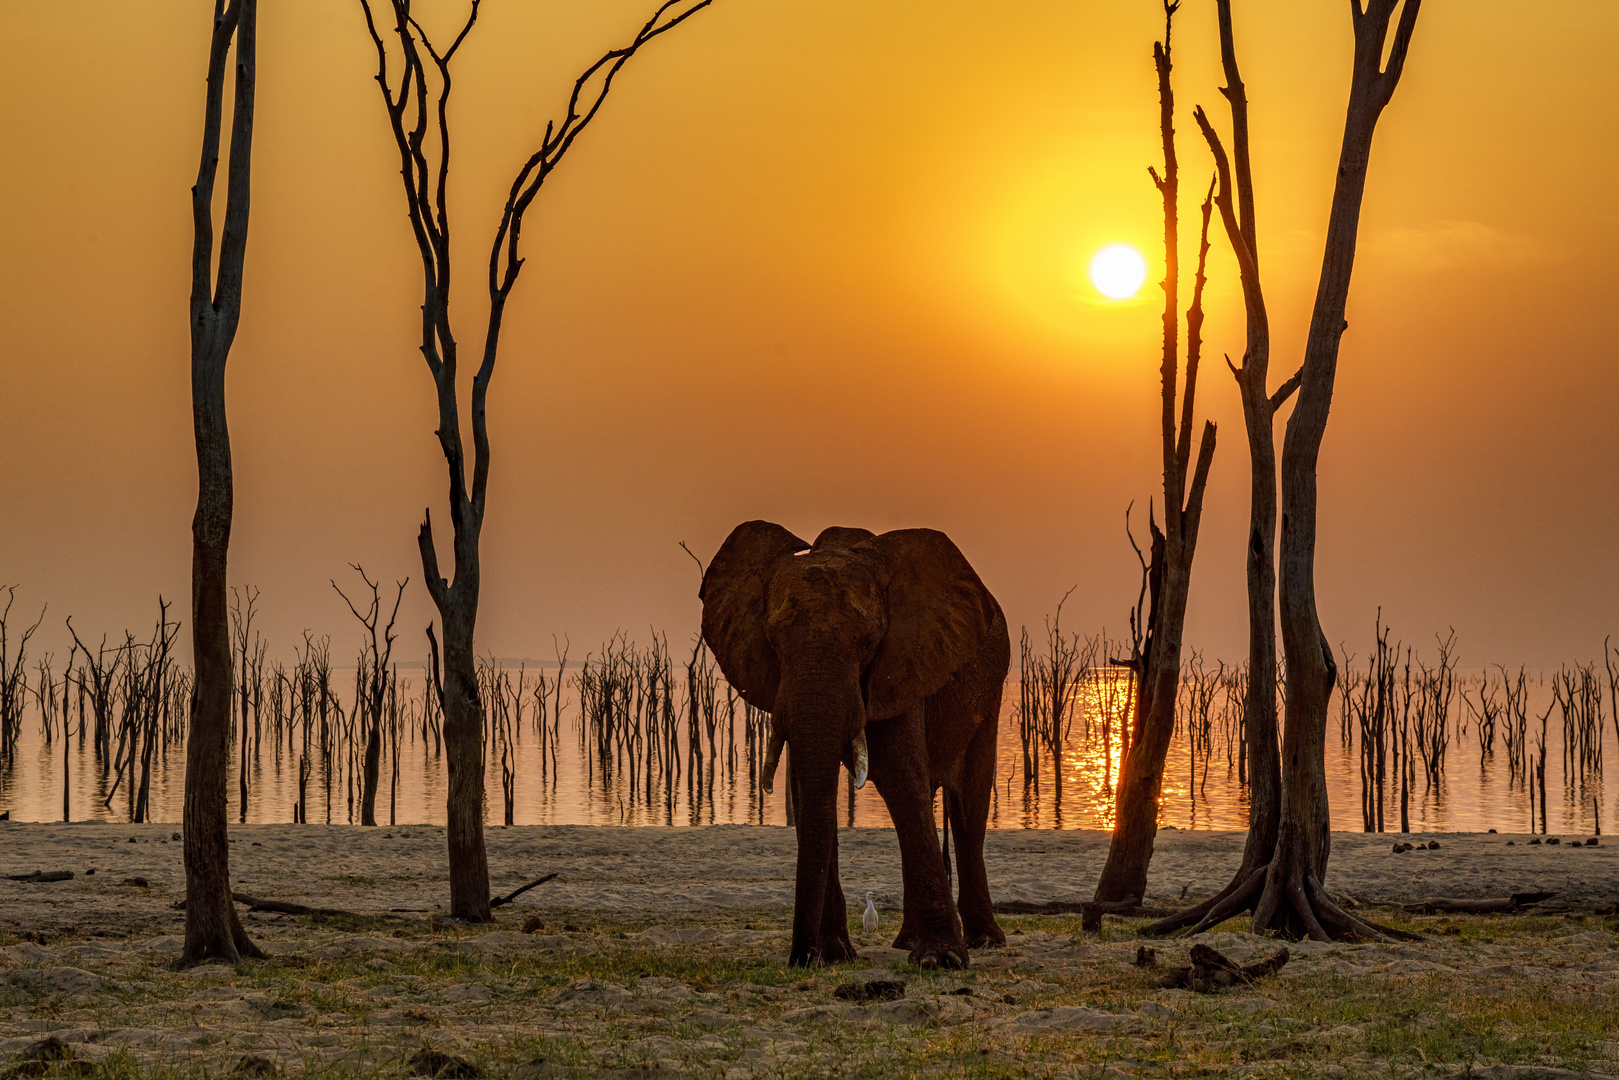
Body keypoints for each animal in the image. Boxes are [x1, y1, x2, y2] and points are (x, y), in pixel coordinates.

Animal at [699, 518, 1003, 965]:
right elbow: (806, 788)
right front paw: (833, 956)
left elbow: (902, 778)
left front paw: (941, 961)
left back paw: (986, 942)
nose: (799, 957)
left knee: (967, 808)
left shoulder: (902, 662)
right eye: (773, 640)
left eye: (868, 640)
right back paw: (906, 942)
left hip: (991, 689)